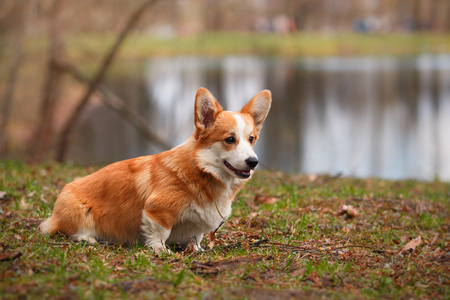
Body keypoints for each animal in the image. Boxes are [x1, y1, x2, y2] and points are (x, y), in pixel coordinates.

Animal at [39, 87, 270, 253]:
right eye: (230, 139)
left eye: (251, 139)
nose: (253, 162)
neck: (203, 171)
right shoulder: (157, 211)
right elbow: (159, 233)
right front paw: (161, 251)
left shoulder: (198, 225)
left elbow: (196, 238)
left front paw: (196, 250)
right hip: (78, 211)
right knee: (68, 231)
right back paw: (88, 238)